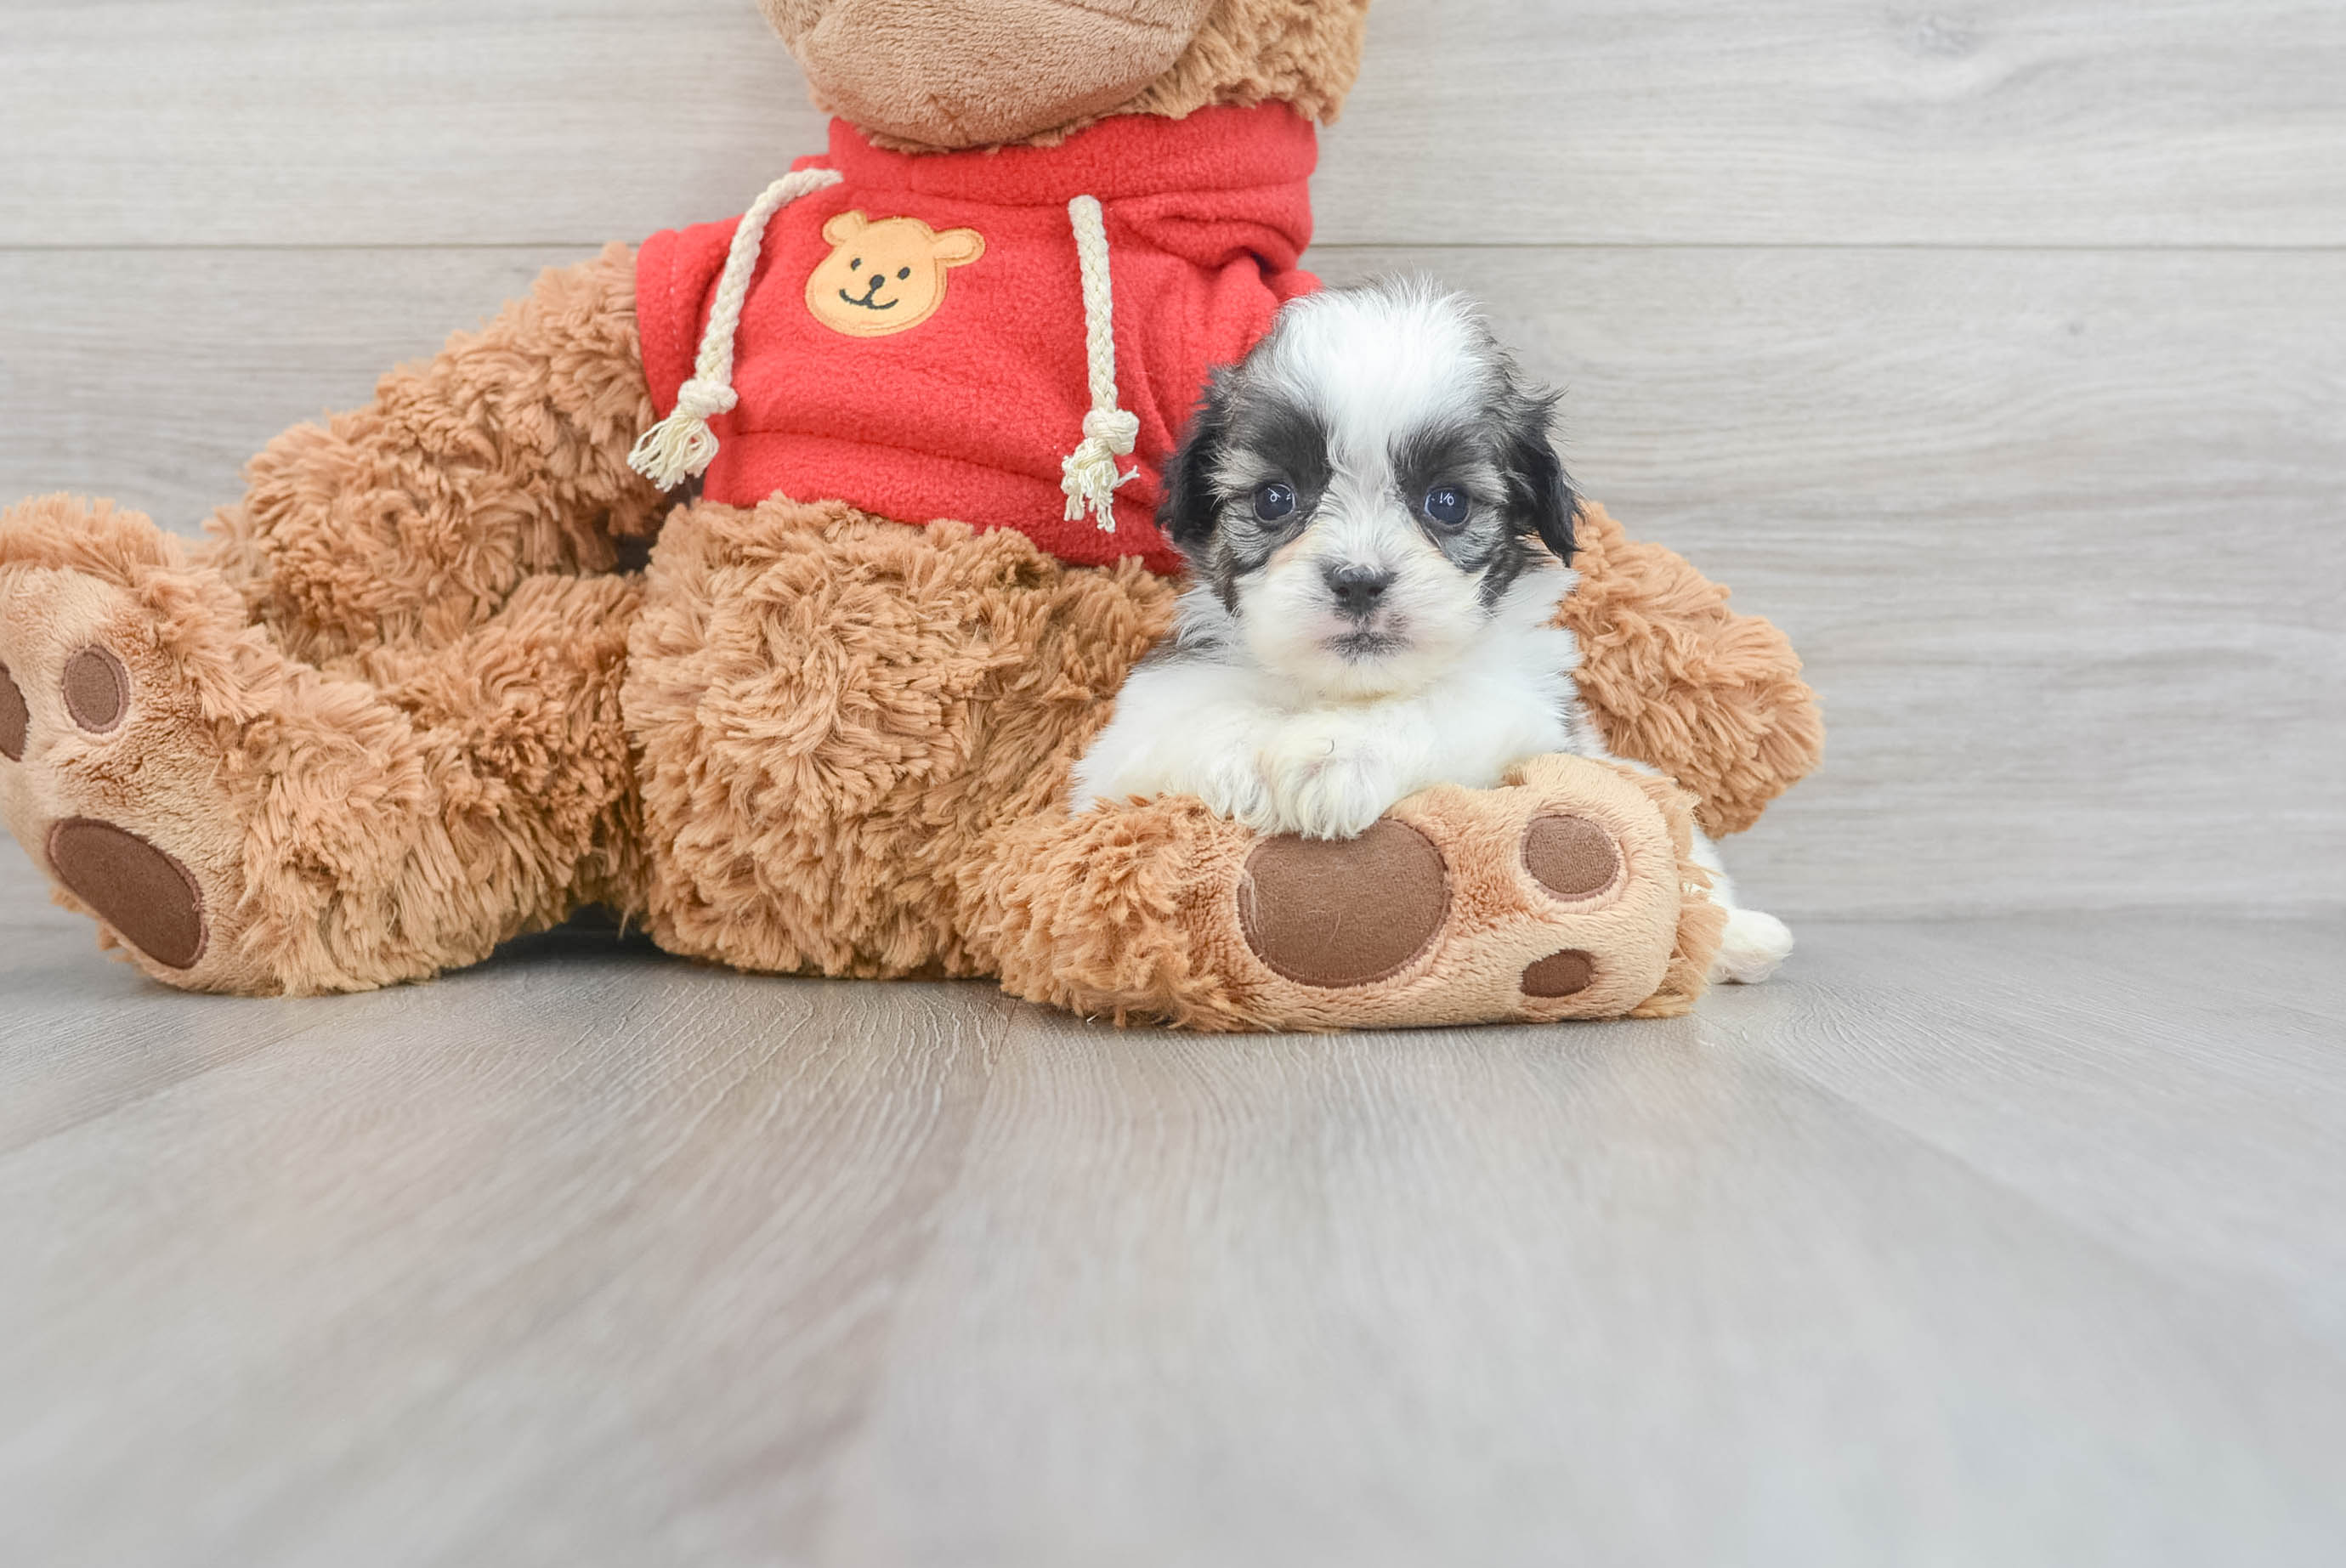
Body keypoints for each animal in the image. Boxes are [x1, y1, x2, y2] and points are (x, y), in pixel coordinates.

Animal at [1069, 278, 1792, 981]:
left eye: (1447, 503)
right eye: (1275, 498)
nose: (1359, 580)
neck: (1343, 691)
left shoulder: (1520, 707)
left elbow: (1434, 708)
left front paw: (1333, 758)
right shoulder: (1126, 743)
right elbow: (1183, 729)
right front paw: (1255, 763)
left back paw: (1744, 938)